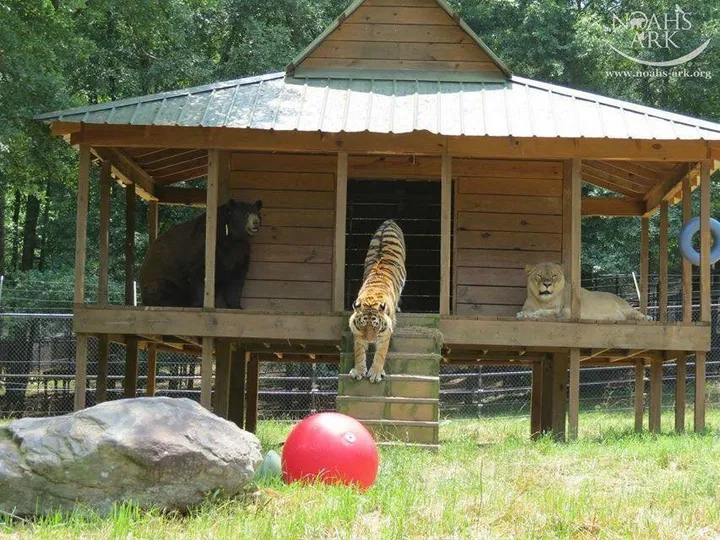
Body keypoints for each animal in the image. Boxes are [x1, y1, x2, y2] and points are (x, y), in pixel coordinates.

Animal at [350, 219, 408, 384]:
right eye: (363, 325)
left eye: (376, 326)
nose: (369, 341)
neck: (371, 297)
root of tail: (389, 221)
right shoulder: (357, 333)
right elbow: (358, 353)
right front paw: (359, 370)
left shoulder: (385, 333)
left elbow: (380, 354)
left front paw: (375, 373)